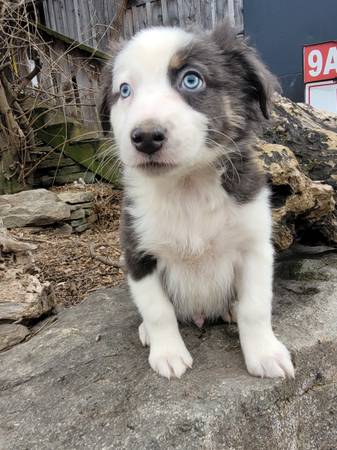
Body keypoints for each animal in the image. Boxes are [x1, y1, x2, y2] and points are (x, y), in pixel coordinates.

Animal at [100, 22, 294, 380]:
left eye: (192, 80)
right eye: (125, 91)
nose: (145, 137)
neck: (187, 186)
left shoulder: (255, 247)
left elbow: (256, 308)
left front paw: (265, 354)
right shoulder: (137, 253)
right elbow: (157, 310)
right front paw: (168, 353)